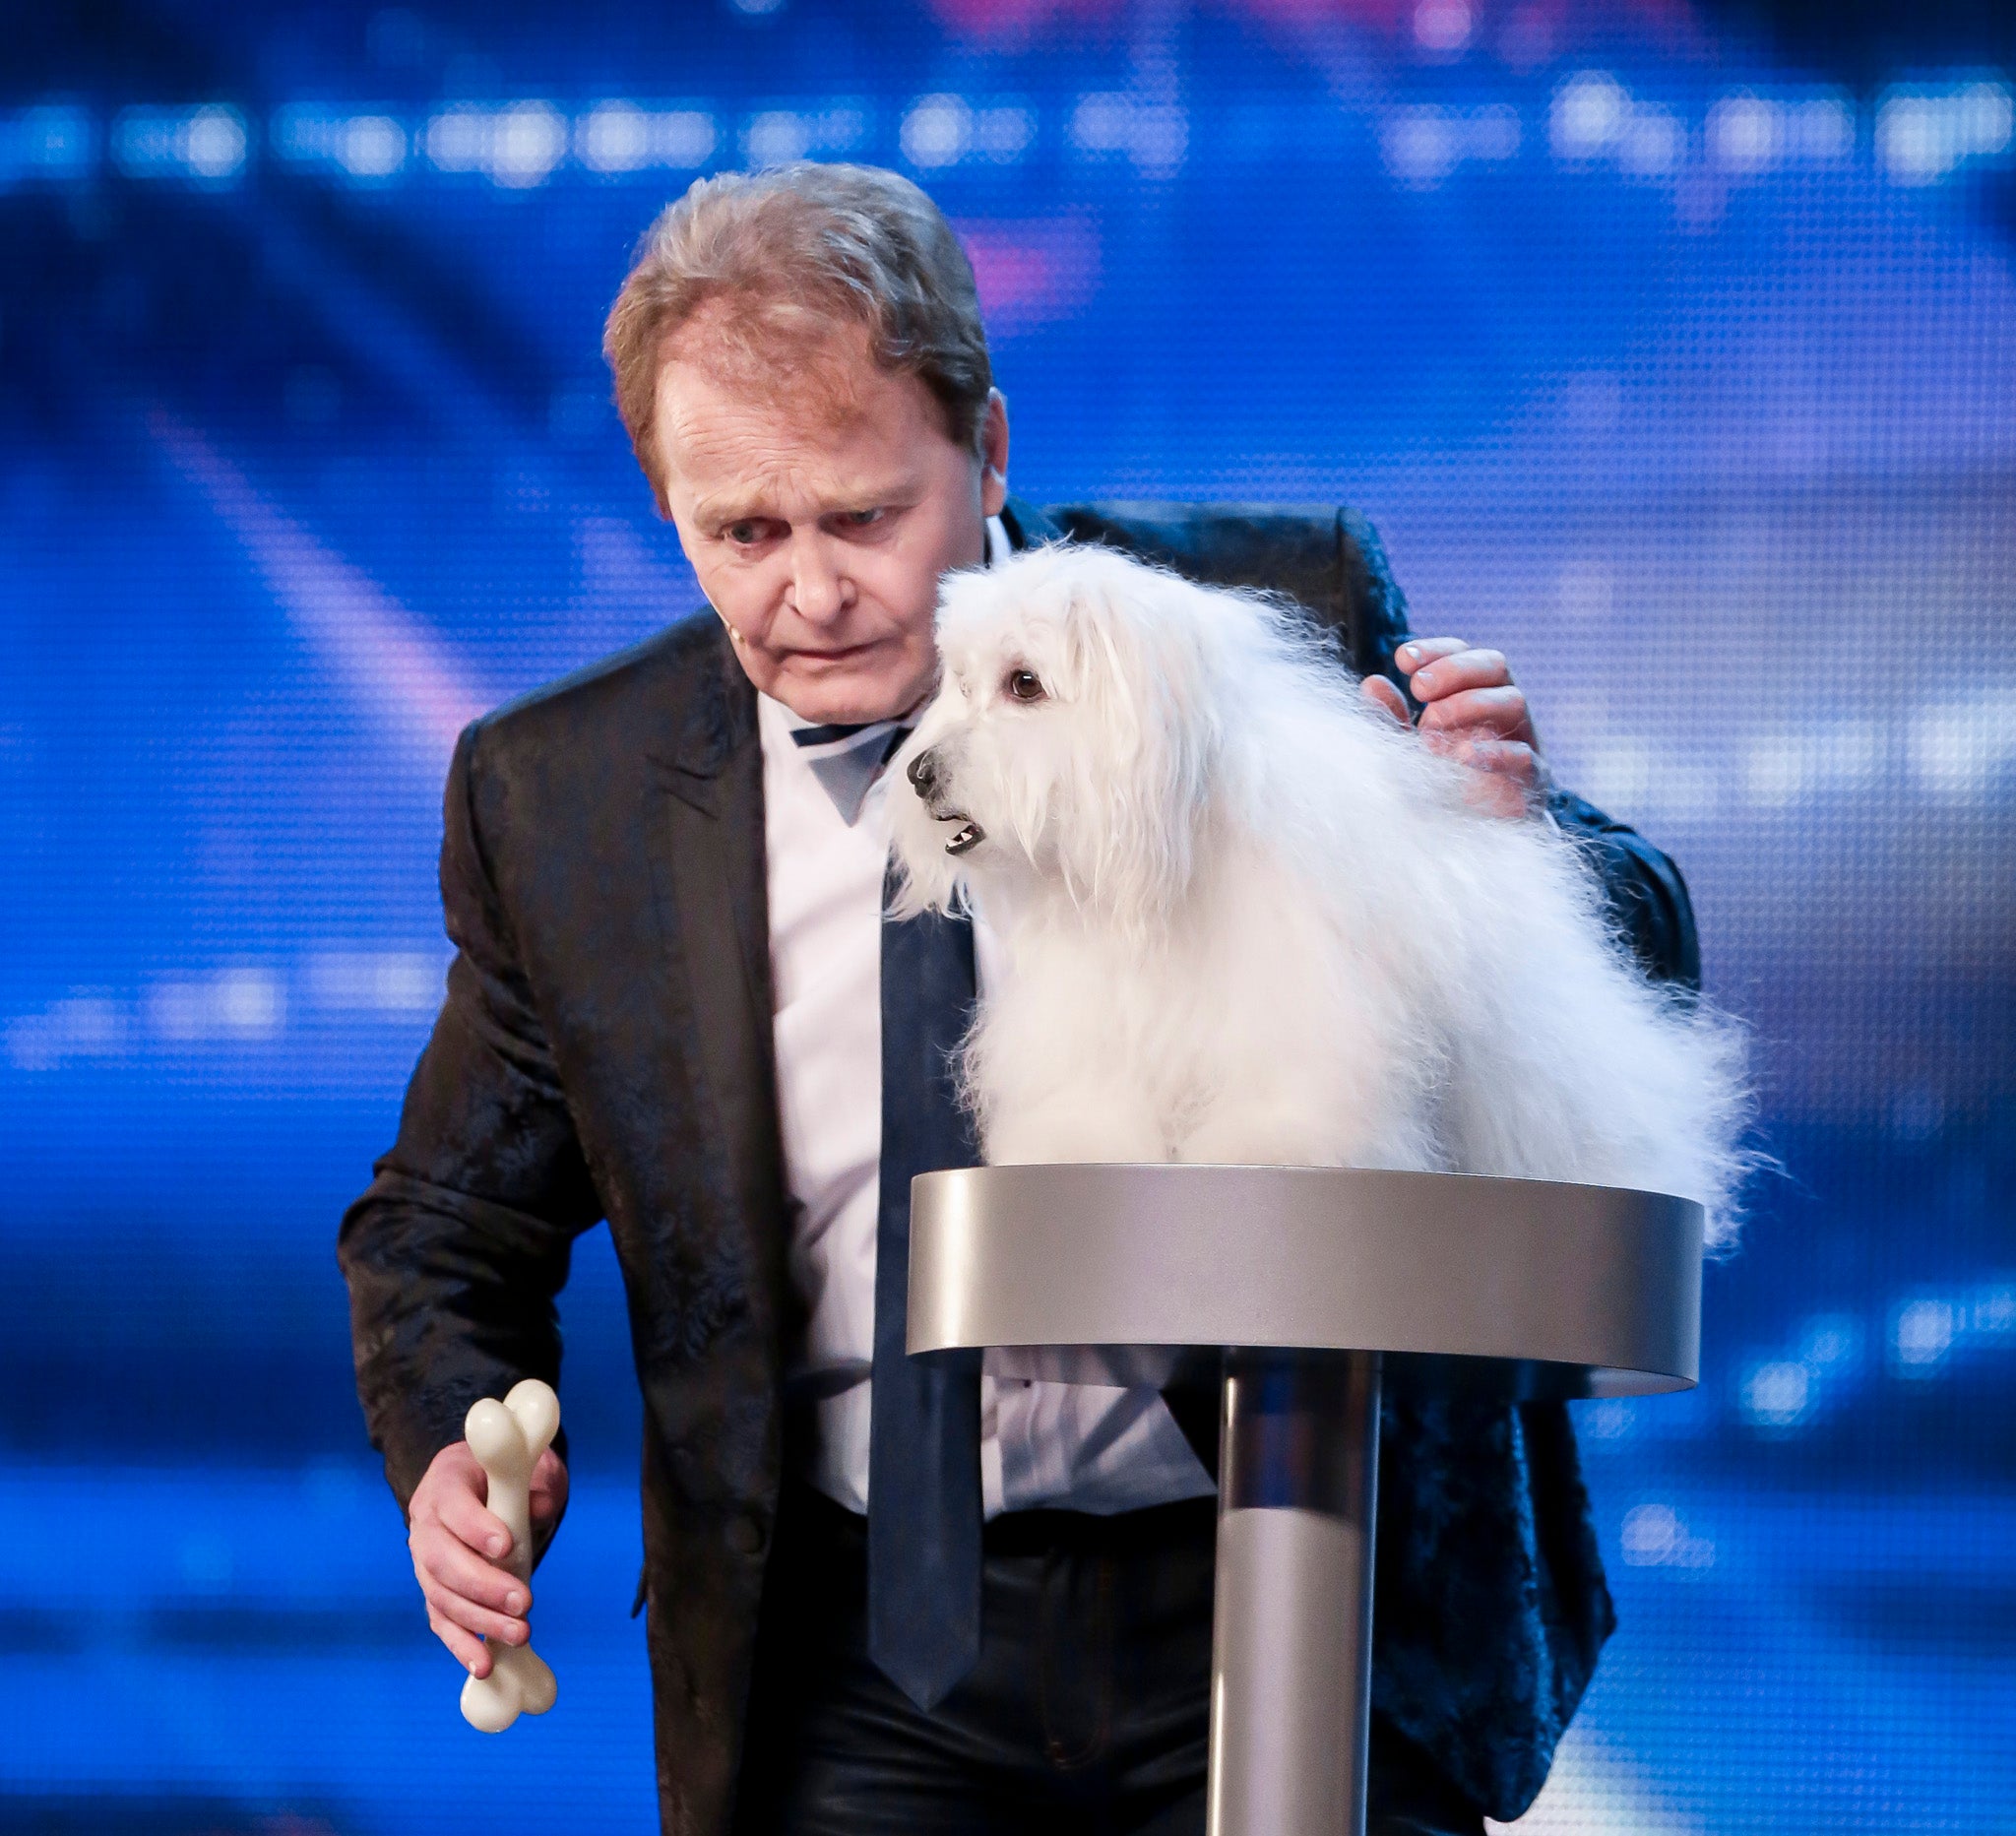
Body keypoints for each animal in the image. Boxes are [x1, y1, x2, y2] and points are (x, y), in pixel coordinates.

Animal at [883, 539, 1749, 1241]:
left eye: (1025, 684)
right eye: (961, 683)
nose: (918, 772)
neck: (1179, 853)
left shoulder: (1300, 1012)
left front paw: (1266, 1149)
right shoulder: (1097, 1026)